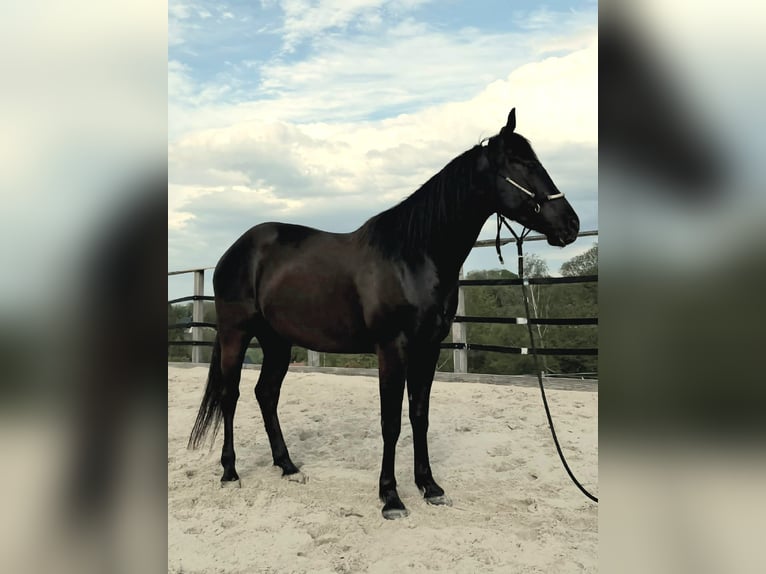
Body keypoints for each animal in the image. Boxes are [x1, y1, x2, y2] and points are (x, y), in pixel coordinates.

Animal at [188, 108, 580, 519]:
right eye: (524, 164)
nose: (571, 224)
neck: (413, 256)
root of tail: (235, 250)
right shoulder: (392, 348)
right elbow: (390, 422)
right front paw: (390, 497)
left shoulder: (428, 348)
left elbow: (419, 416)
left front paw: (429, 486)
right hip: (236, 333)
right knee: (230, 395)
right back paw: (230, 472)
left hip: (277, 340)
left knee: (266, 393)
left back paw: (288, 466)